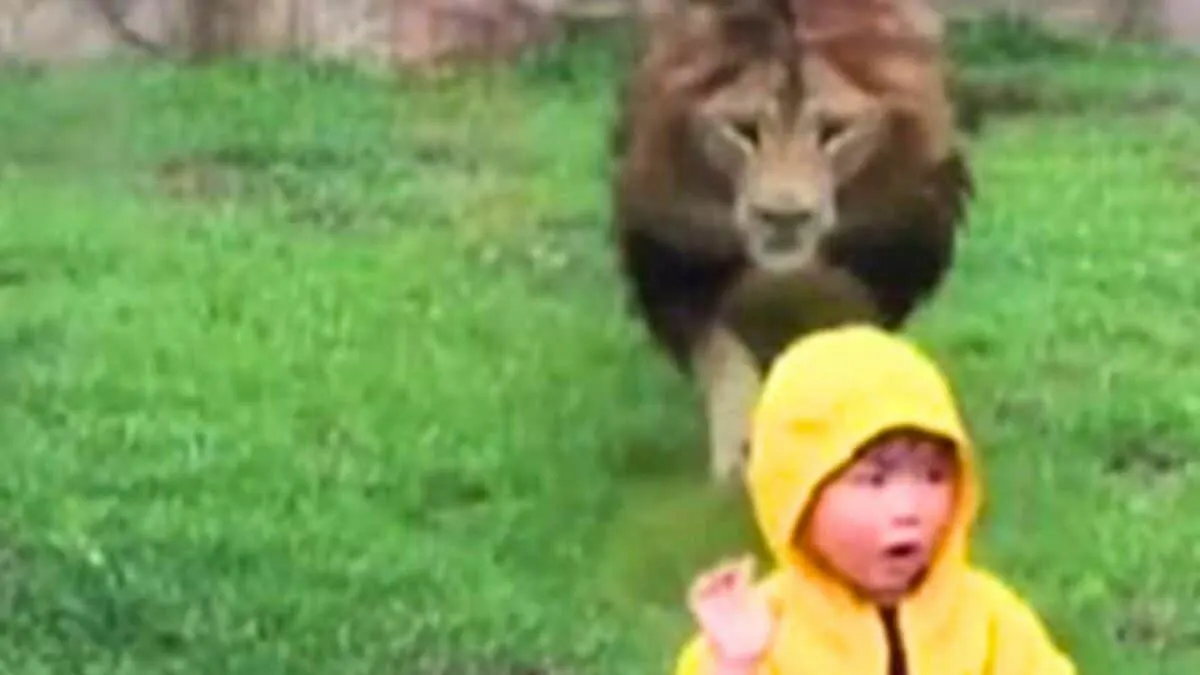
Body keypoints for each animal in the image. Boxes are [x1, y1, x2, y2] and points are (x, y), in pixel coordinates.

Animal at [609, 0, 974, 482]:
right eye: (743, 130)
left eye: (834, 131)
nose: (784, 218)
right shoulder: (678, 262)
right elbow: (725, 363)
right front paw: (737, 460)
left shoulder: (887, 254)